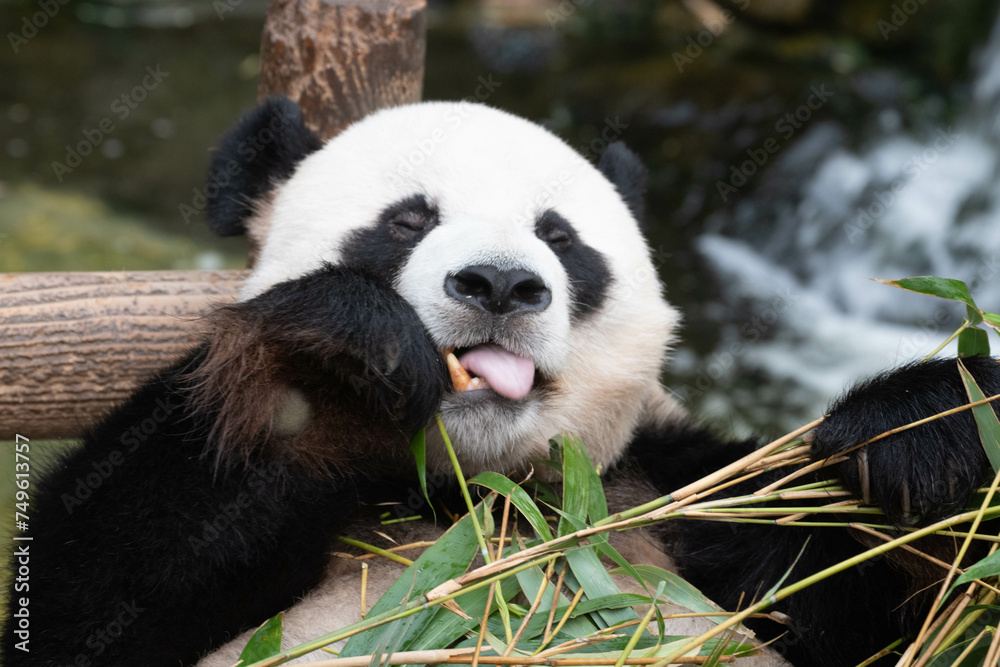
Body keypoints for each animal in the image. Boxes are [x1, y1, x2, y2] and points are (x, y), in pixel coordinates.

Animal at [4, 97, 999, 667]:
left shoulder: (674, 499)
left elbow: (895, 606)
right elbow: (79, 595)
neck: (473, 499)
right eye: (407, 220)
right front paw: (332, 373)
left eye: (560, 237)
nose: (499, 284)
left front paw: (933, 431)